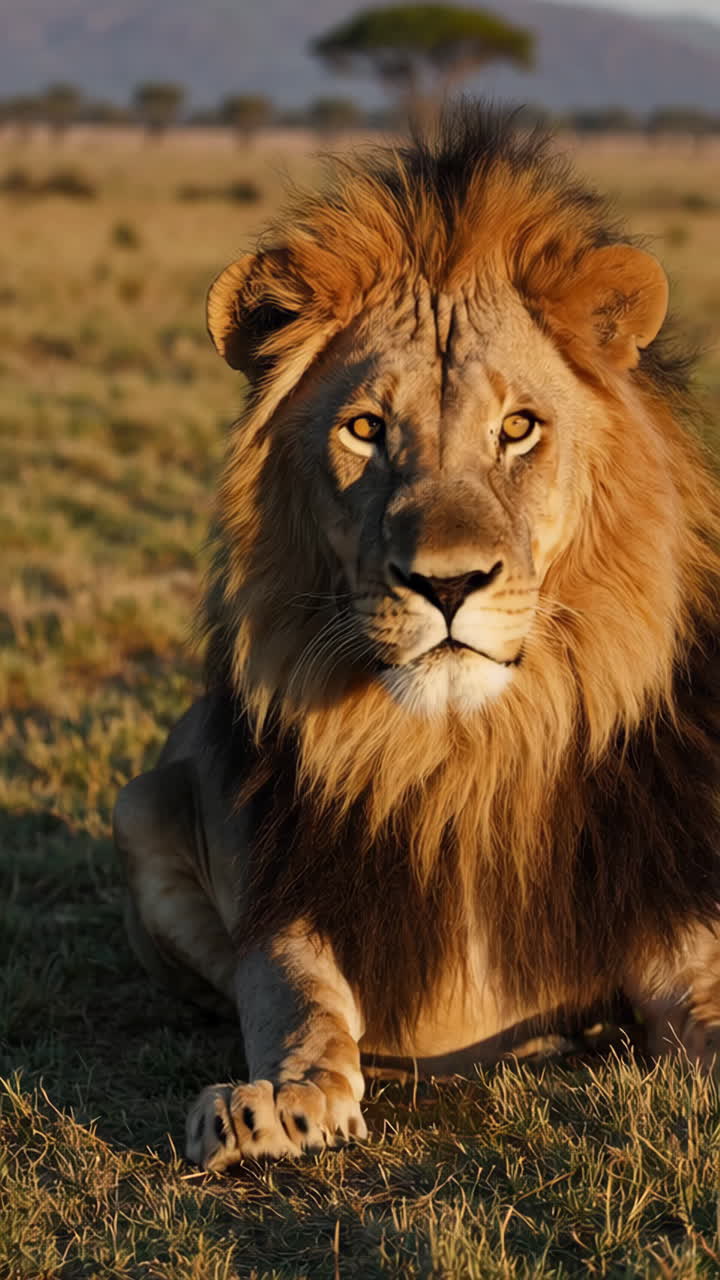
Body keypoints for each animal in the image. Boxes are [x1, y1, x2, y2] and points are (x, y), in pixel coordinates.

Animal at [113, 104, 720, 1171]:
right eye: (364, 428)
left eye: (519, 429)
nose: (447, 583)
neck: (467, 754)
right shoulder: (289, 899)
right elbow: (296, 995)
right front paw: (279, 1098)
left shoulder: (673, 906)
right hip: (141, 802)